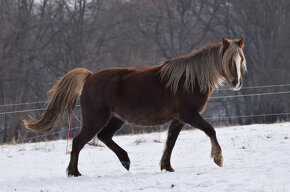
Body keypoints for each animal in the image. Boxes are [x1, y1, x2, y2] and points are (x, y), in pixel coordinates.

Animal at [23, 36, 247, 176]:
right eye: (229, 60)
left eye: (241, 59)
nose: (236, 83)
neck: (188, 80)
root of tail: (90, 77)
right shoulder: (189, 115)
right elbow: (210, 130)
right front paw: (218, 158)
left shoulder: (178, 120)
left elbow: (170, 142)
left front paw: (167, 167)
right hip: (95, 119)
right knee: (79, 141)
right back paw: (74, 172)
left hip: (115, 119)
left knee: (104, 137)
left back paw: (125, 161)